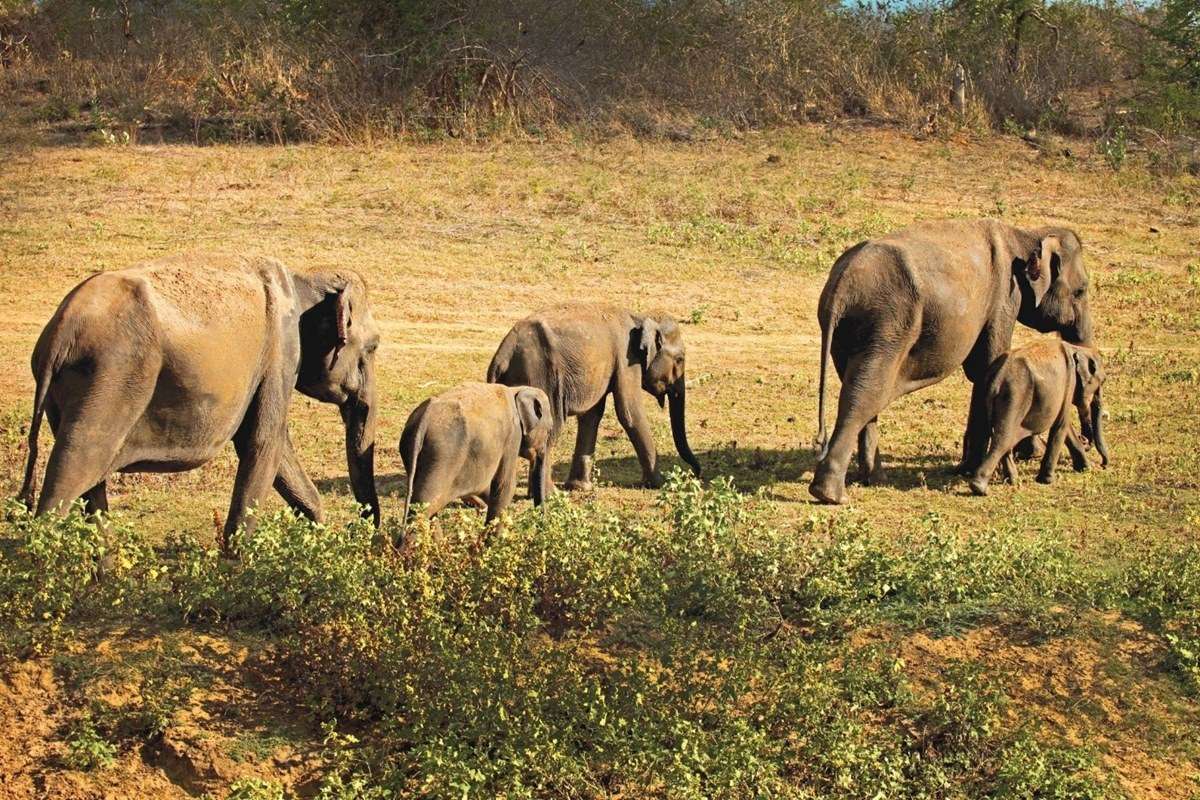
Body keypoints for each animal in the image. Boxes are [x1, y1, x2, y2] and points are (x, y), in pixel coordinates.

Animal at [21, 253, 381, 542]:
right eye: (373, 347)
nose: (362, 535)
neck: (303, 277)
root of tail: (59, 333)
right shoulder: (280, 353)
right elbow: (265, 443)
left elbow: (272, 451)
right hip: (108, 381)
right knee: (70, 474)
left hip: (71, 394)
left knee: (90, 490)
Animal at [400, 381, 554, 525]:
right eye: (549, 430)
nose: (541, 523)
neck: (516, 390)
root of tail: (423, 419)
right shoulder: (512, 436)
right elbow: (505, 487)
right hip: (441, 458)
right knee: (425, 505)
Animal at [482, 307, 700, 491]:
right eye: (680, 359)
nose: (696, 473)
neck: (640, 317)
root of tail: (503, 354)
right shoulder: (626, 358)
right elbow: (629, 412)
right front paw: (660, 484)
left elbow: (592, 415)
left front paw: (580, 487)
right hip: (540, 376)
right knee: (548, 428)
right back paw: (551, 493)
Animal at [964, 338, 1104, 494]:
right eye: (1102, 382)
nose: (1103, 465)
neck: (1077, 349)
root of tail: (997, 377)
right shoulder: (1070, 383)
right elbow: (1061, 424)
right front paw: (1047, 481)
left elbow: (1065, 425)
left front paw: (1086, 468)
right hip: (1014, 397)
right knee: (1003, 439)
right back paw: (980, 488)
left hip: (988, 395)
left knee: (996, 434)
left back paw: (1012, 480)